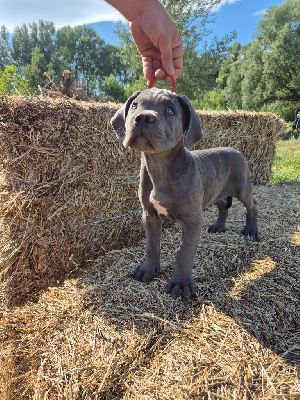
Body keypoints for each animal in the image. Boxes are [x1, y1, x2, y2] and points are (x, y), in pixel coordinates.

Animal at [110, 88, 258, 300]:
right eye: (134, 106)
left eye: (170, 110)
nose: (143, 117)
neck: (160, 168)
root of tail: (235, 149)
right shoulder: (149, 215)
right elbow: (151, 246)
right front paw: (148, 270)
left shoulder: (192, 220)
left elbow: (184, 253)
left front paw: (180, 284)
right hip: (216, 191)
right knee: (223, 206)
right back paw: (219, 227)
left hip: (242, 187)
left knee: (252, 205)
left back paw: (251, 232)